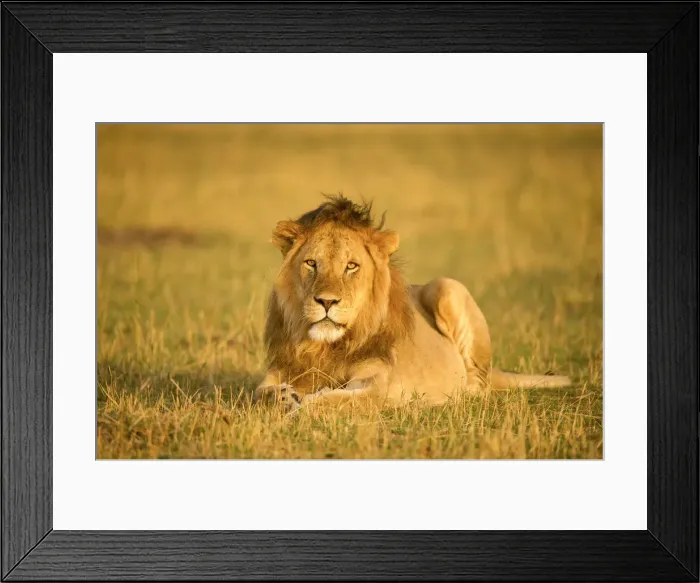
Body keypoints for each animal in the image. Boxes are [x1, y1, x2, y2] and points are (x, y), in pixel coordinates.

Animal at [253, 195, 571, 413]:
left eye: (351, 266)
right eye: (311, 263)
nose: (326, 301)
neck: (325, 346)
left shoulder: (377, 385)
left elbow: (332, 401)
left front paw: (301, 407)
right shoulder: (278, 371)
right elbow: (261, 393)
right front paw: (286, 398)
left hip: (447, 287)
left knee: (478, 384)